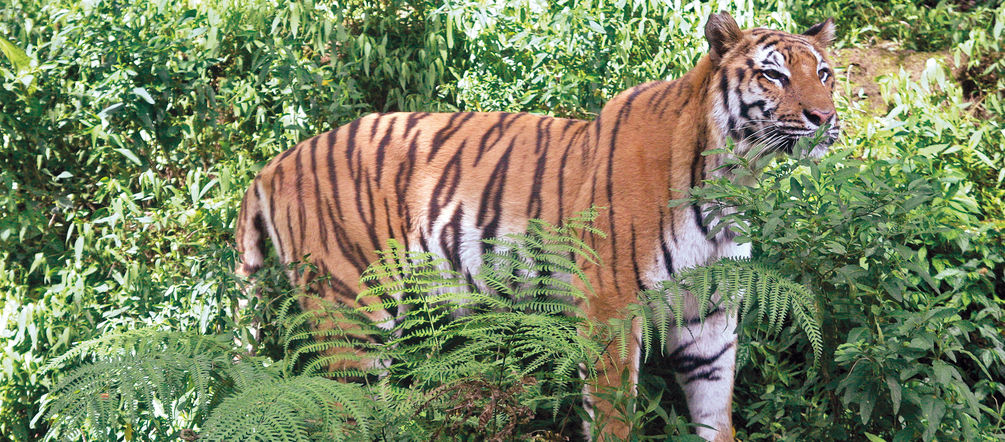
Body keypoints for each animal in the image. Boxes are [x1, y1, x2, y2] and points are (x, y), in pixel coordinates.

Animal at [235, 12, 840, 439]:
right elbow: (614, 417)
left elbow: (717, 418)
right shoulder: (611, 309)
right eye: (773, 74)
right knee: (336, 412)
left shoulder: (709, 318)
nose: (827, 118)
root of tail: (273, 163)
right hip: (352, 314)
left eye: (824, 73)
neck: (729, 180)